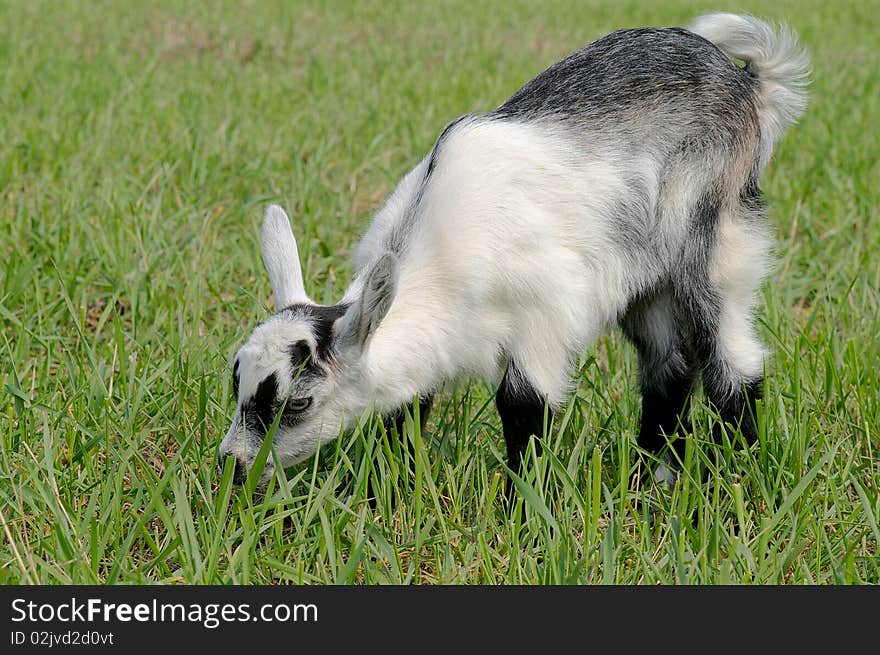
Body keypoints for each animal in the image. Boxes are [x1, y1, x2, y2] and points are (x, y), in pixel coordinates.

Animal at [217, 14, 808, 486]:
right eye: (236, 379)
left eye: (297, 403)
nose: (232, 466)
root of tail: (748, 86)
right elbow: (407, 406)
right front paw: (397, 489)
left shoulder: (546, 311)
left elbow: (522, 403)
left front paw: (519, 506)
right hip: (646, 287)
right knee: (668, 369)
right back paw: (652, 481)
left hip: (719, 245)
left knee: (732, 366)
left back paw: (741, 479)